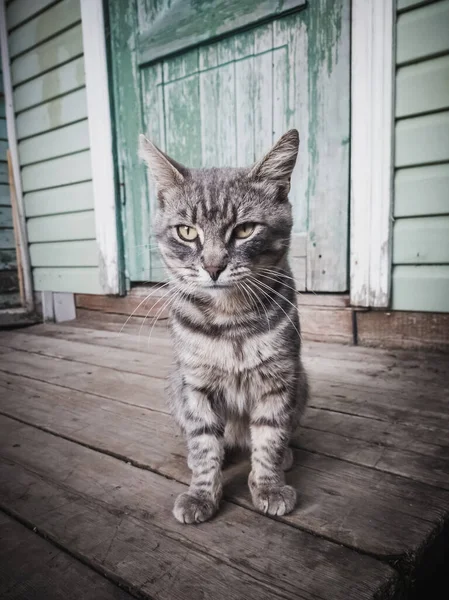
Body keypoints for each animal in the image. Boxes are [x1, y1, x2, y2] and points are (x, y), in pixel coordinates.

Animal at [139, 129, 308, 524]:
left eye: (245, 229)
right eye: (186, 232)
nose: (214, 266)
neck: (231, 320)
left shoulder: (279, 379)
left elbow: (270, 438)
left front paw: (269, 486)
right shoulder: (196, 385)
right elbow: (204, 444)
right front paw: (202, 494)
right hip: (175, 387)